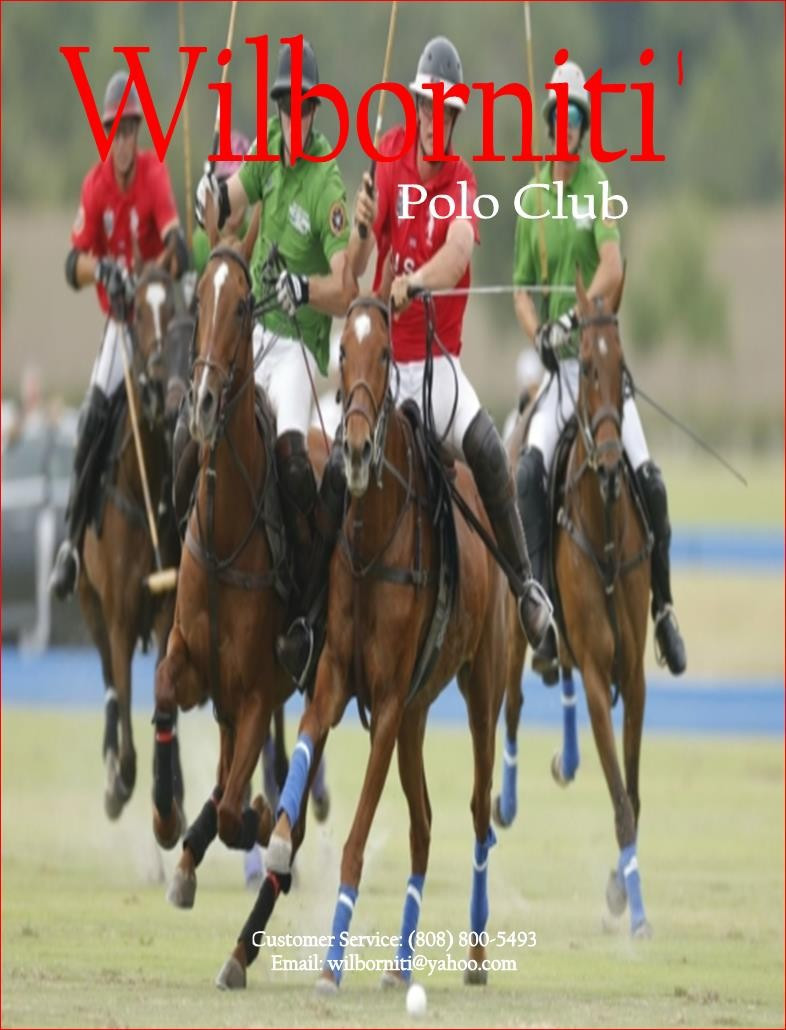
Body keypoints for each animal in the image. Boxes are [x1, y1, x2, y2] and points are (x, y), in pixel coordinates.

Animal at [224, 295, 510, 994]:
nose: (352, 450)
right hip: (415, 712)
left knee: (478, 815)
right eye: (340, 353)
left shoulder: (382, 702)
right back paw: (400, 964)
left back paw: (476, 957)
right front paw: (275, 839)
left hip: (481, 690)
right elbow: (302, 751)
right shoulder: (337, 678)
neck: (374, 541)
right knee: (423, 823)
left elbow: (355, 841)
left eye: (383, 353)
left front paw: (331, 964)